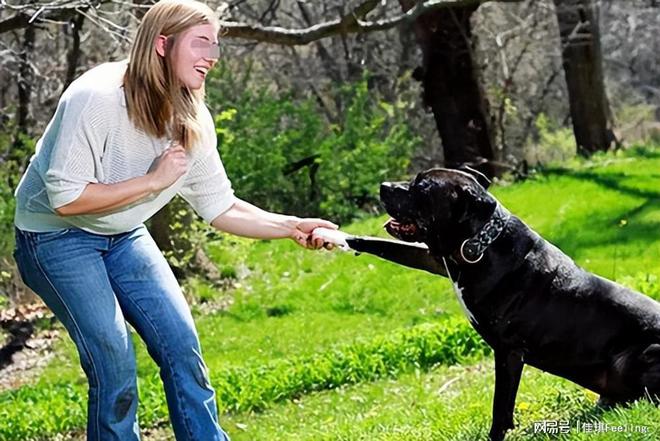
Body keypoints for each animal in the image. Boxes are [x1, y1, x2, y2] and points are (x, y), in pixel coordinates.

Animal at [346, 167, 660, 438]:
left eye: (421, 187)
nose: (383, 185)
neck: (481, 242)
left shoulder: (508, 350)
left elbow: (501, 405)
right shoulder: (437, 259)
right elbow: (387, 247)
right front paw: (345, 239)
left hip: (643, 354)